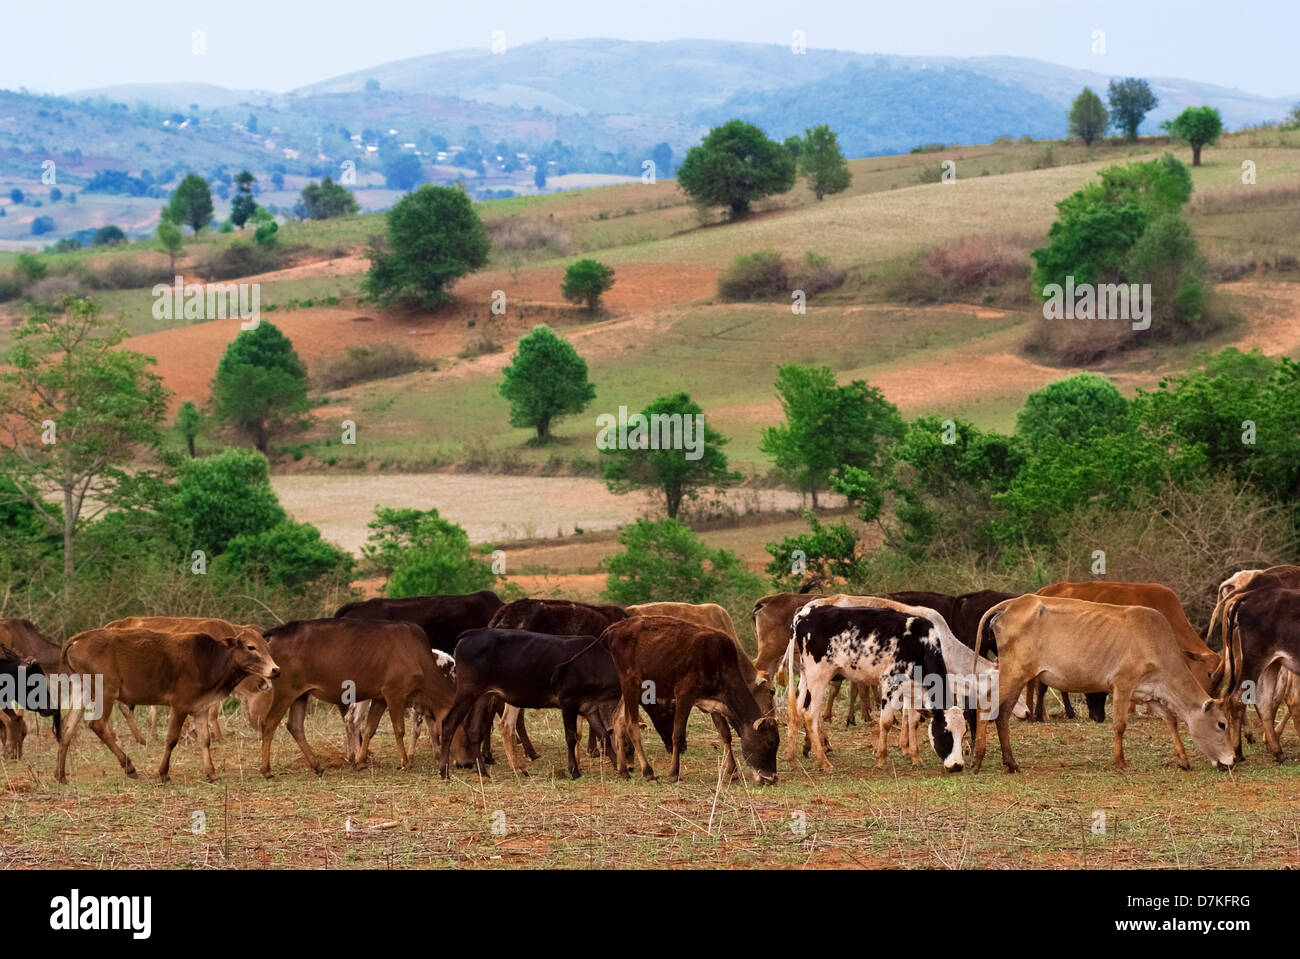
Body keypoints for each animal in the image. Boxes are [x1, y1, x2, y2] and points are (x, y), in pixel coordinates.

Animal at [55, 627, 280, 783]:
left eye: (267, 647)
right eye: (251, 647)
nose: (275, 670)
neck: (209, 660)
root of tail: (80, 638)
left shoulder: (200, 708)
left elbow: (205, 740)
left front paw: (212, 773)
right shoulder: (180, 706)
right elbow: (171, 739)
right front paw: (163, 773)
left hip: (81, 690)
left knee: (67, 727)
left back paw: (61, 775)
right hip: (105, 691)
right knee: (98, 725)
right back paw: (129, 767)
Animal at [255, 618, 461, 777]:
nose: (462, 763)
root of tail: (274, 634)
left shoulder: (380, 698)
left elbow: (370, 728)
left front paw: (361, 761)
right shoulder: (394, 693)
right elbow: (399, 729)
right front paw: (404, 762)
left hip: (301, 694)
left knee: (295, 726)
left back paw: (317, 765)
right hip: (285, 692)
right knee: (269, 724)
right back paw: (266, 770)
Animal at [602, 616, 778, 784]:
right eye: (769, 742)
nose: (772, 778)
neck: (721, 664)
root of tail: (615, 628)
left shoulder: (715, 704)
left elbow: (725, 734)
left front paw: (733, 772)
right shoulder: (684, 695)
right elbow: (677, 735)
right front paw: (674, 773)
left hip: (632, 688)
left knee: (618, 719)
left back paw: (623, 770)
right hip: (631, 683)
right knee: (631, 724)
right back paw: (648, 772)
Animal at [787, 603, 968, 774]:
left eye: (964, 732)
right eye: (946, 732)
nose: (957, 766)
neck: (920, 644)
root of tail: (805, 613)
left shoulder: (913, 690)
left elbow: (913, 722)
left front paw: (916, 758)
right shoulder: (890, 682)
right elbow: (886, 722)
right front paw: (881, 759)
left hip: (805, 675)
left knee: (796, 712)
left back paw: (793, 760)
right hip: (818, 675)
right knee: (810, 714)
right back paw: (823, 762)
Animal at [971, 595, 1236, 773]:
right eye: (1222, 724)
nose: (1232, 760)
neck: (1157, 645)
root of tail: (1012, 603)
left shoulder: (1150, 693)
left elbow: (1171, 720)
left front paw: (1182, 758)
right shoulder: (1123, 684)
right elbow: (1120, 725)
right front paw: (1120, 762)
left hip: (1019, 676)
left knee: (1003, 715)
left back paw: (1011, 762)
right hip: (1013, 672)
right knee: (985, 704)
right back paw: (977, 760)